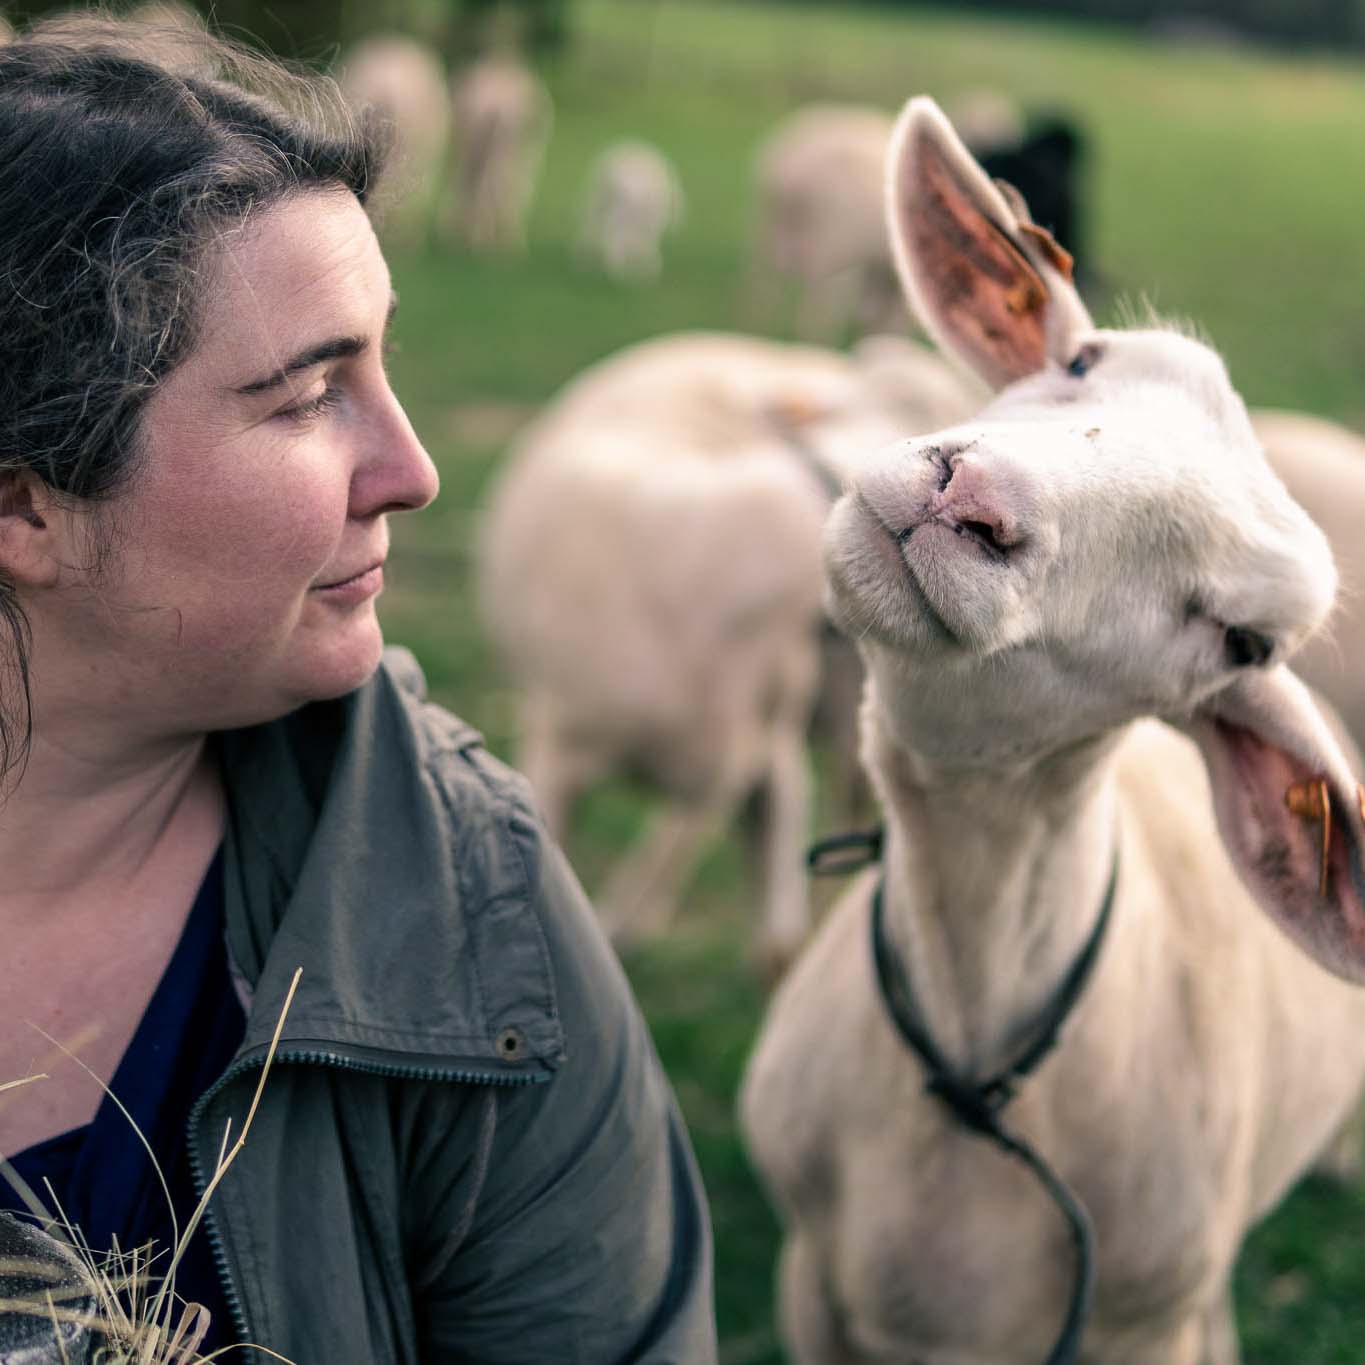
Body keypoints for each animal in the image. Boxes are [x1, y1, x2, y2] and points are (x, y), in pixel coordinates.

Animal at [447, 53, 554, 255]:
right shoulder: (527, 154)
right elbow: (519, 188)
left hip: (475, 145)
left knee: (470, 180)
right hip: (504, 149)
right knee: (496, 183)